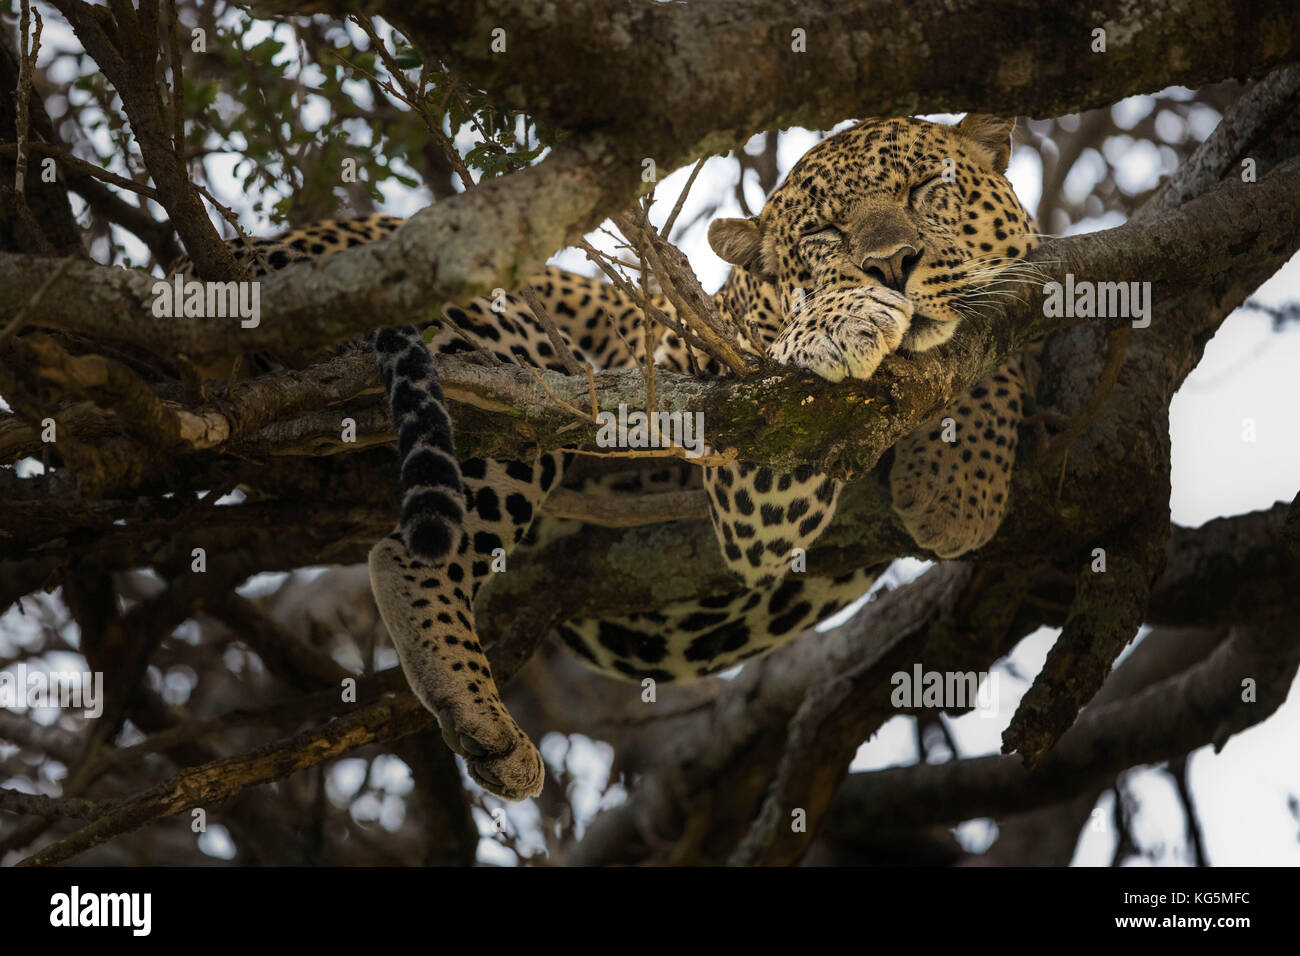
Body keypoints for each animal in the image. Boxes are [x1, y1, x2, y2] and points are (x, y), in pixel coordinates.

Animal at [172, 111, 1040, 801]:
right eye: (822, 236)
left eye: (928, 189)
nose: (889, 264)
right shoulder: (735, 450)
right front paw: (846, 321)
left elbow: (1003, 327)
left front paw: (957, 483)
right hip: (520, 366)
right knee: (412, 552)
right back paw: (481, 718)